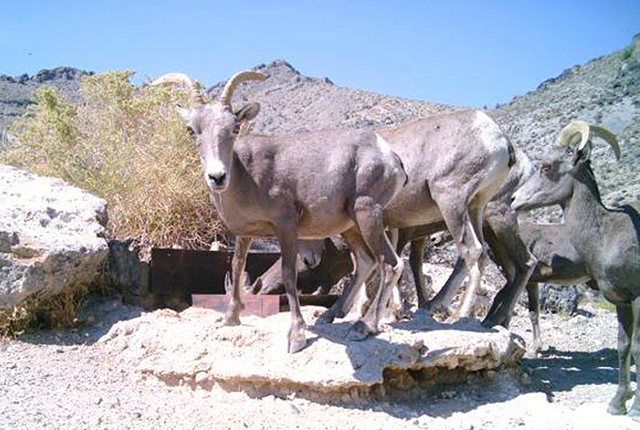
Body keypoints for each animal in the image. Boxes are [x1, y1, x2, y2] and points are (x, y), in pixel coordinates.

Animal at [152, 71, 408, 353]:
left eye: (235, 128)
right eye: (191, 130)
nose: (217, 177)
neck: (247, 177)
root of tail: (390, 158)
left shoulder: (286, 226)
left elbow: (287, 273)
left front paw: (296, 337)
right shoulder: (245, 234)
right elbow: (237, 265)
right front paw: (230, 319)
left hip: (367, 214)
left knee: (391, 264)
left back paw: (363, 327)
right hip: (351, 226)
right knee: (365, 261)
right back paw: (331, 316)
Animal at [511, 121, 640, 418]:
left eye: (547, 166)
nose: (513, 199)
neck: (608, 233)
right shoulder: (622, 300)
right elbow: (625, 346)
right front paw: (618, 403)